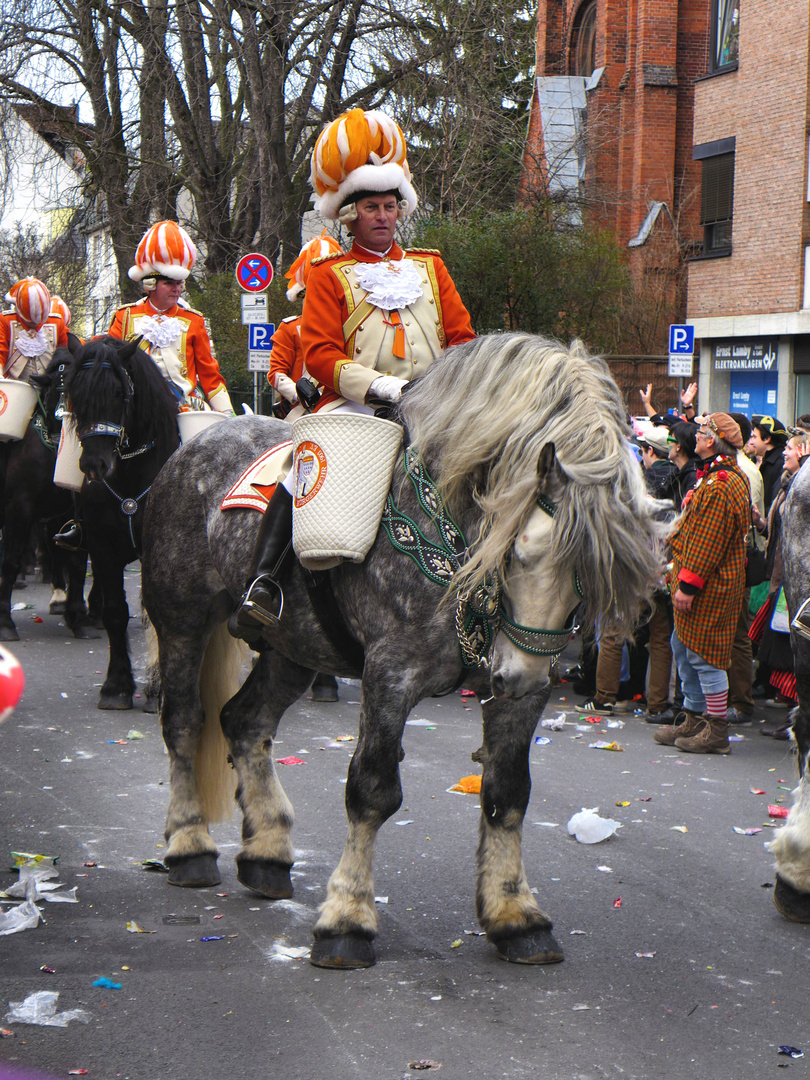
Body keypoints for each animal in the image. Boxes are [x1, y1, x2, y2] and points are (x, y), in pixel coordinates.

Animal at [63, 336, 183, 708]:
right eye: (74, 391)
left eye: (120, 393)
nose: (94, 465)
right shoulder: (103, 548)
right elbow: (116, 611)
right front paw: (116, 685)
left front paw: (160, 688)